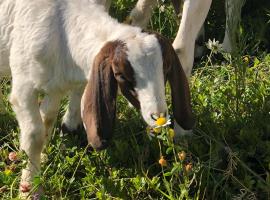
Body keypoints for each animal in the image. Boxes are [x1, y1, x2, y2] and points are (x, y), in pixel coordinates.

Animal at [0, 0, 194, 196]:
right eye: (120, 75)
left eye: (166, 67)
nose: (158, 116)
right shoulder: (23, 89)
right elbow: (34, 136)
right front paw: (29, 189)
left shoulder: (55, 86)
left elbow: (47, 118)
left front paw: (42, 158)